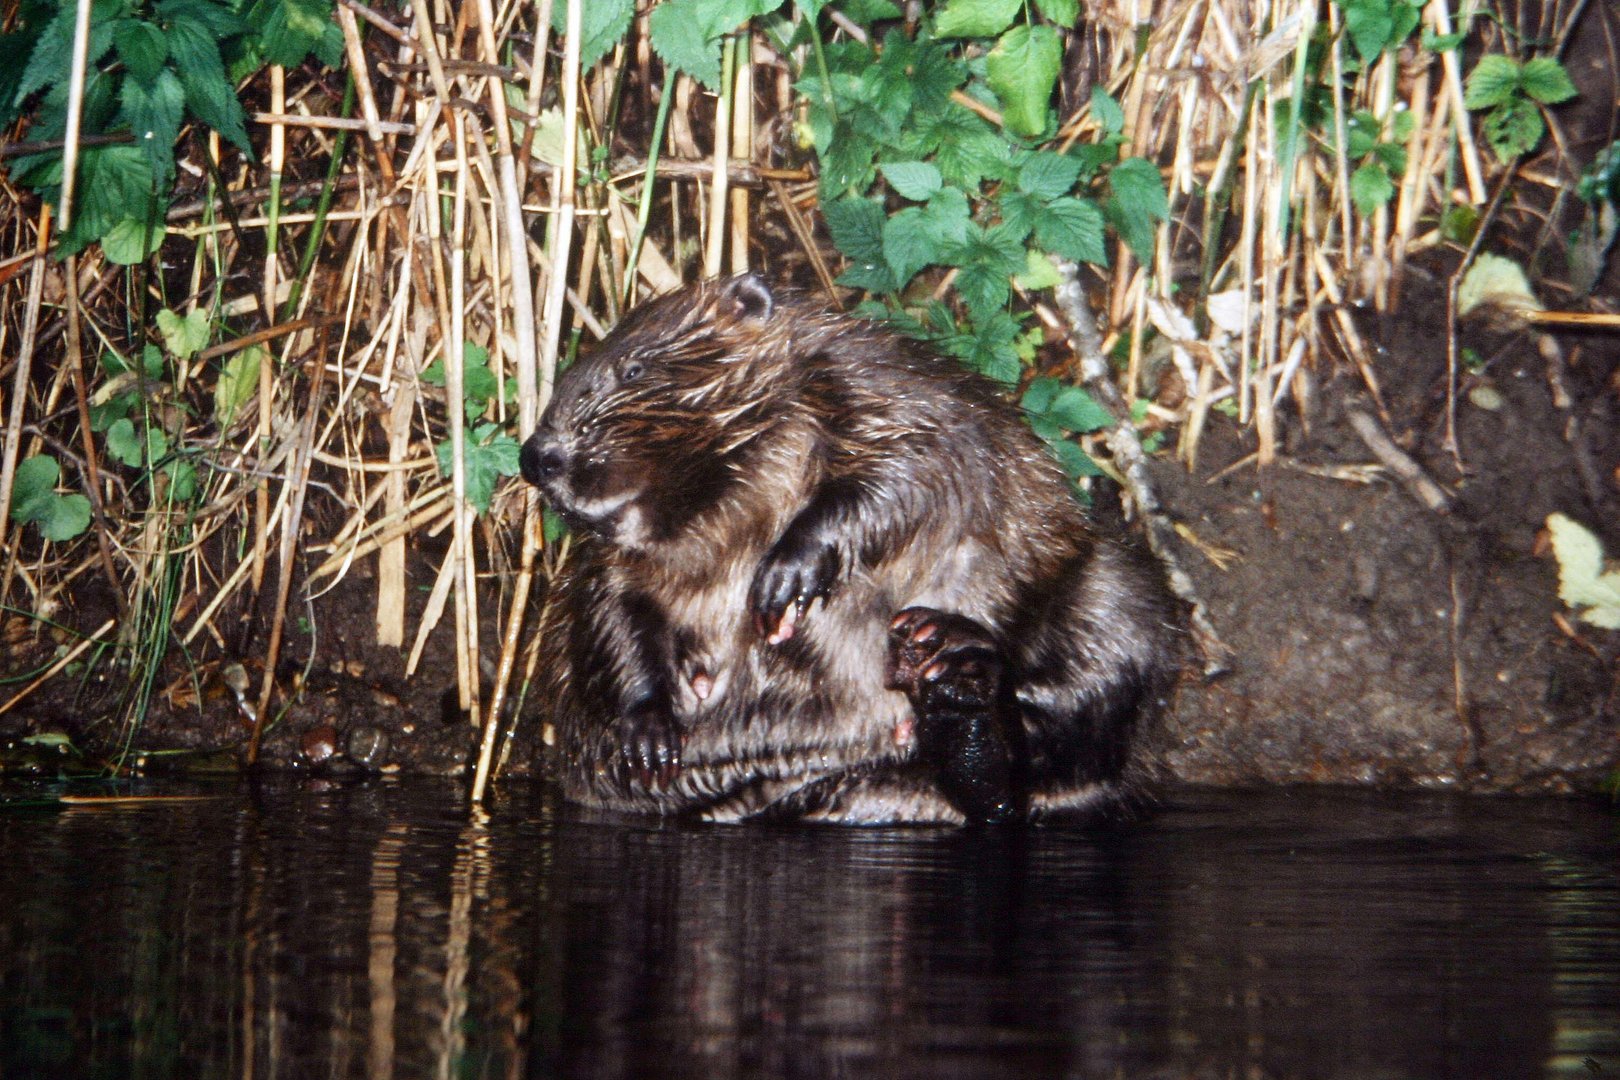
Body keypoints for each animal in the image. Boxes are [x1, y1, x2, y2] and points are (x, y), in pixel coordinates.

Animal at [518, 275, 1179, 822]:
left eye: (632, 370)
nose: (536, 457)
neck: (725, 498)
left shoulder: (880, 391)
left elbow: (906, 471)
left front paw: (782, 580)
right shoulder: (614, 562)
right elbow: (612, 611)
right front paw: (651, 736)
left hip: (1112, 585)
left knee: (1068, 739)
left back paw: (951, 664)